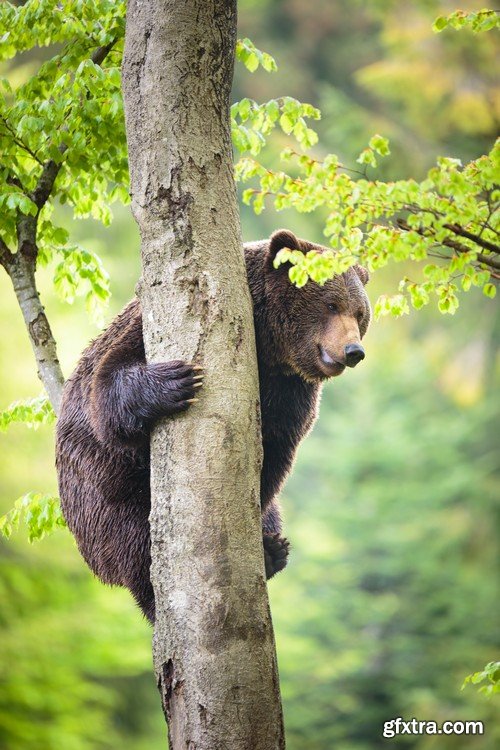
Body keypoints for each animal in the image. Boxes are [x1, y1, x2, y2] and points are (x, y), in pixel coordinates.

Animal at [55, 229, 370, 622]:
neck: (267, 344)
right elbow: (108, 388)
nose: (353, 350)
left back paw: (273, 550)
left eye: (360, 313)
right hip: (104, 493)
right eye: (330, 304)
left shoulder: (288, 391)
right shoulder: (145, 328)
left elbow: (274, 456)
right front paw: (177, 379)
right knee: (134, 539)